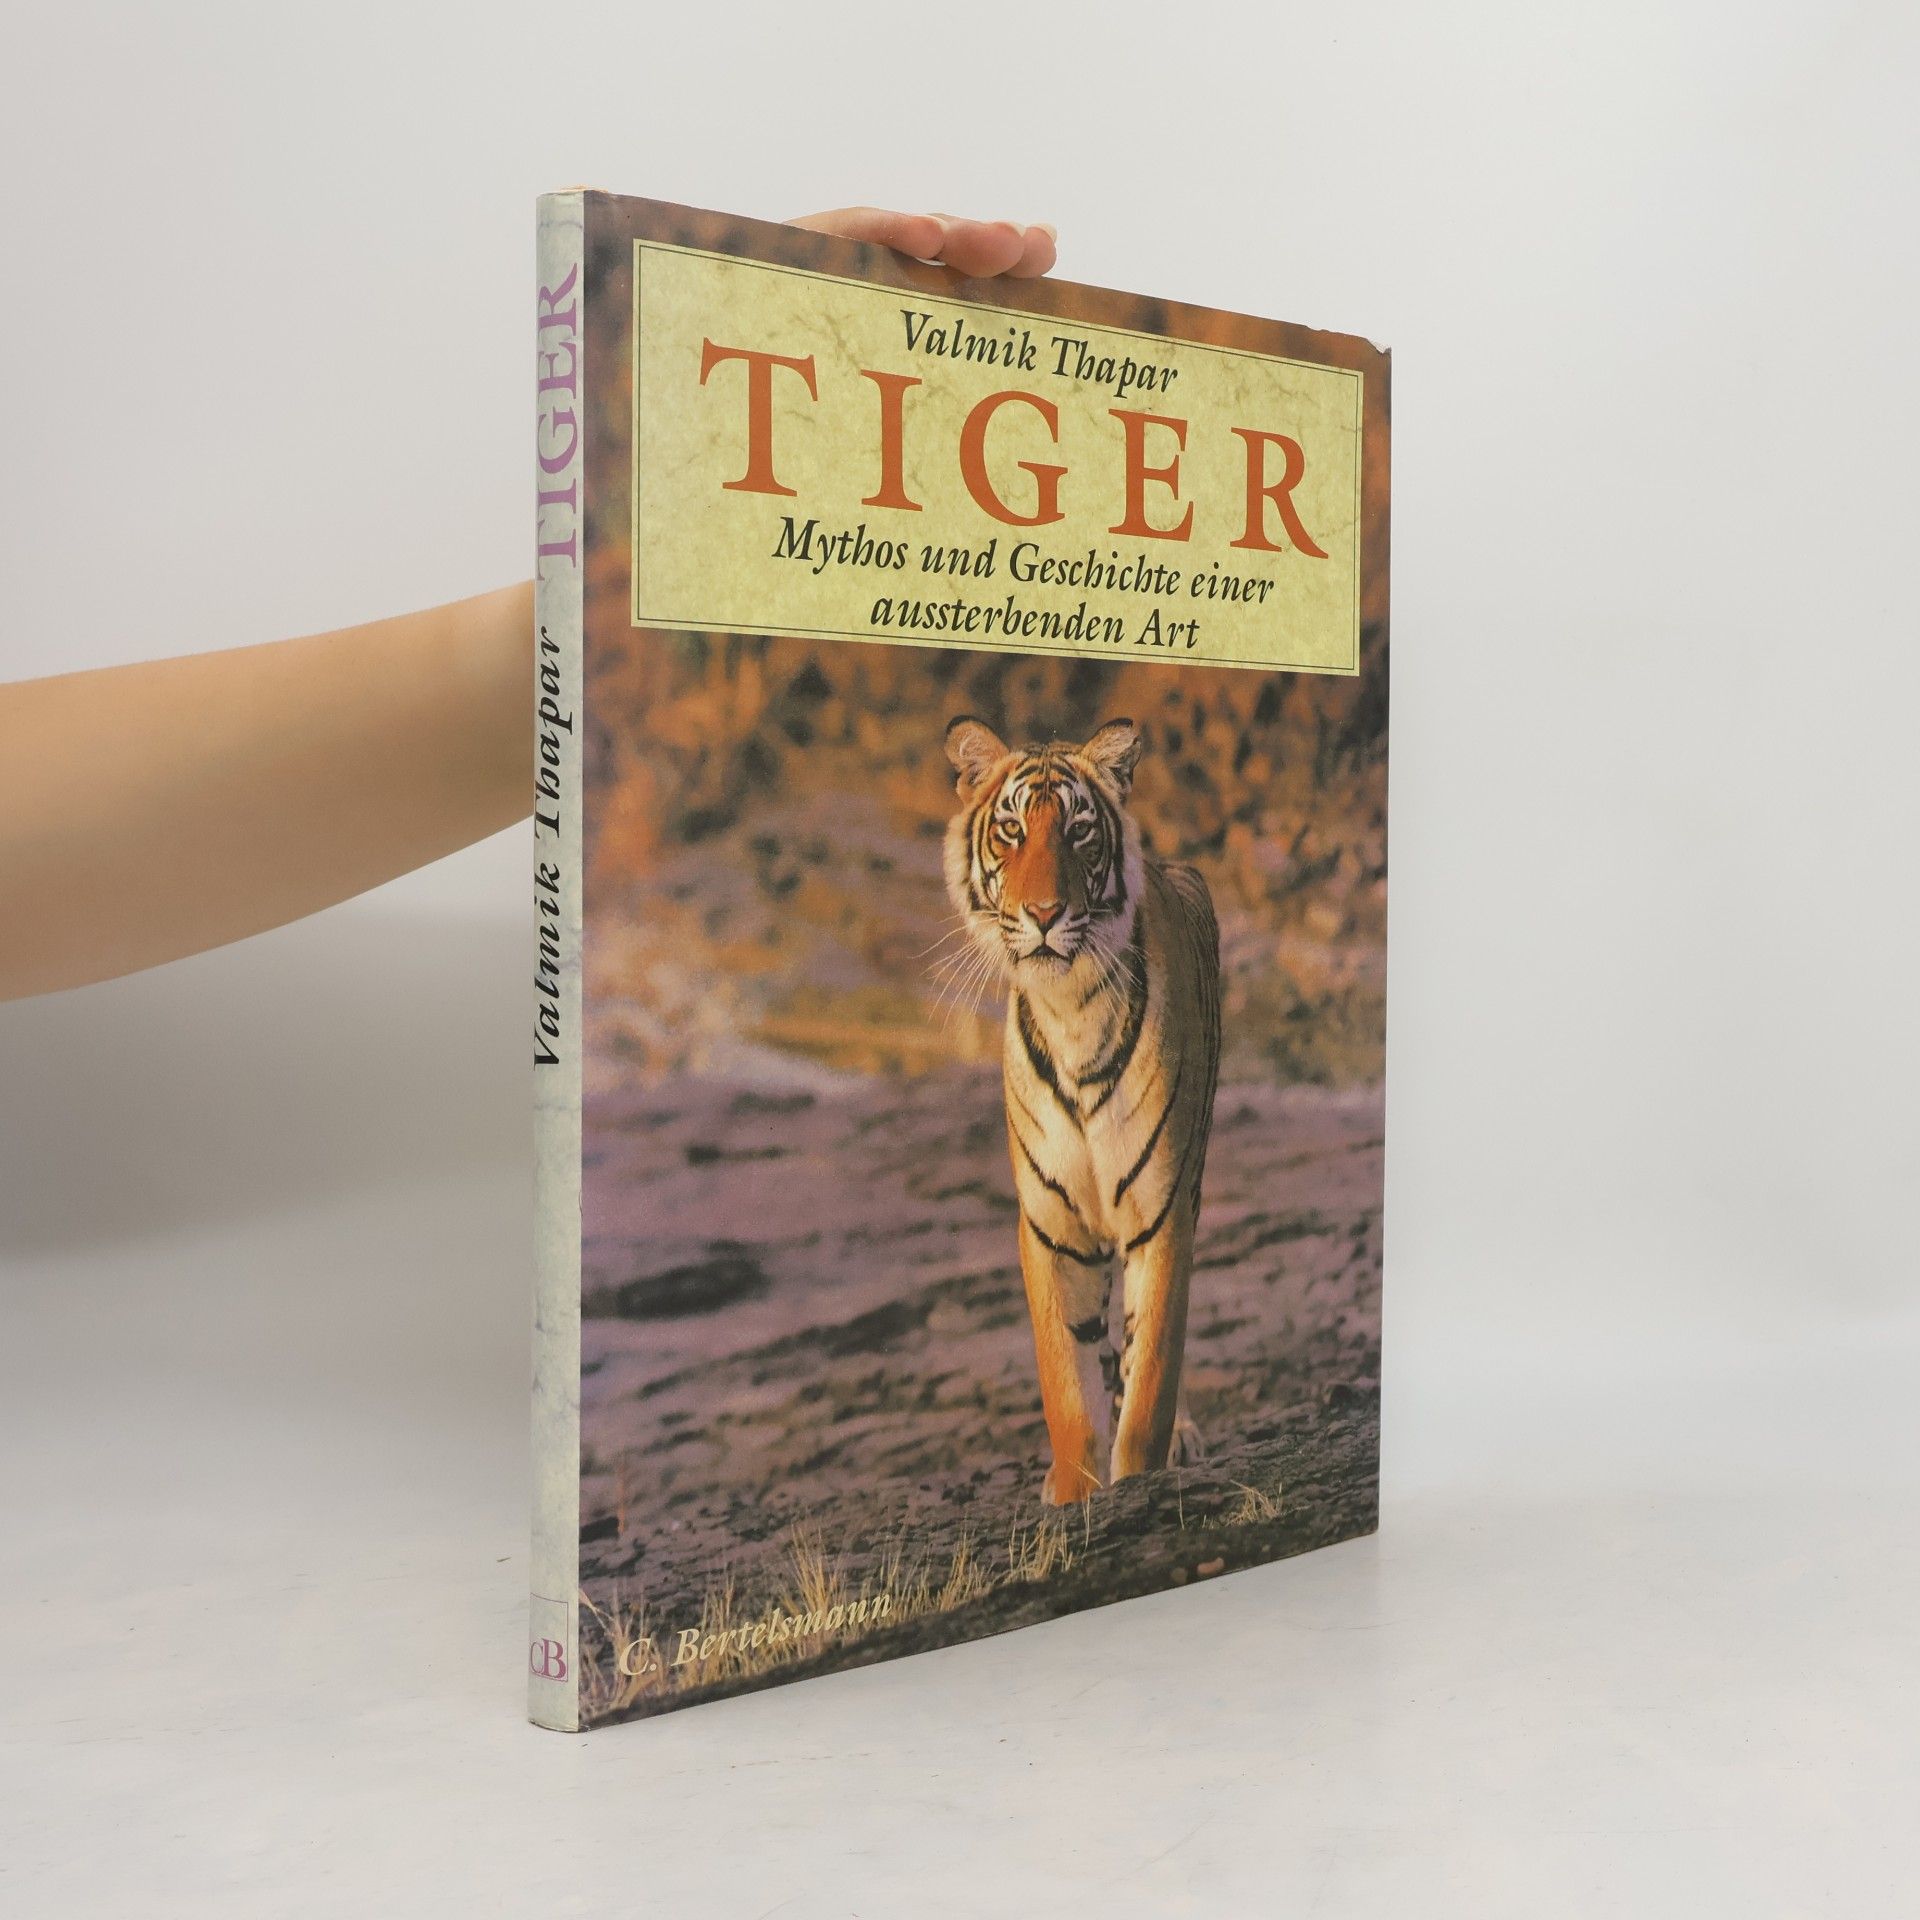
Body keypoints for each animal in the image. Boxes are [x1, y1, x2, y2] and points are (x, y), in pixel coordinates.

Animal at [943, 714, 1222, 1506]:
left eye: (1078, 831)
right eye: (1011, 831)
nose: (1043, 914)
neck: (1070, 1011)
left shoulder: (1162, 1212)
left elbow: (1150, 1374)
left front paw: (1139, 1478)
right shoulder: (1051, 1226)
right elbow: (1068, 1385)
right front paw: (1072, 1494)